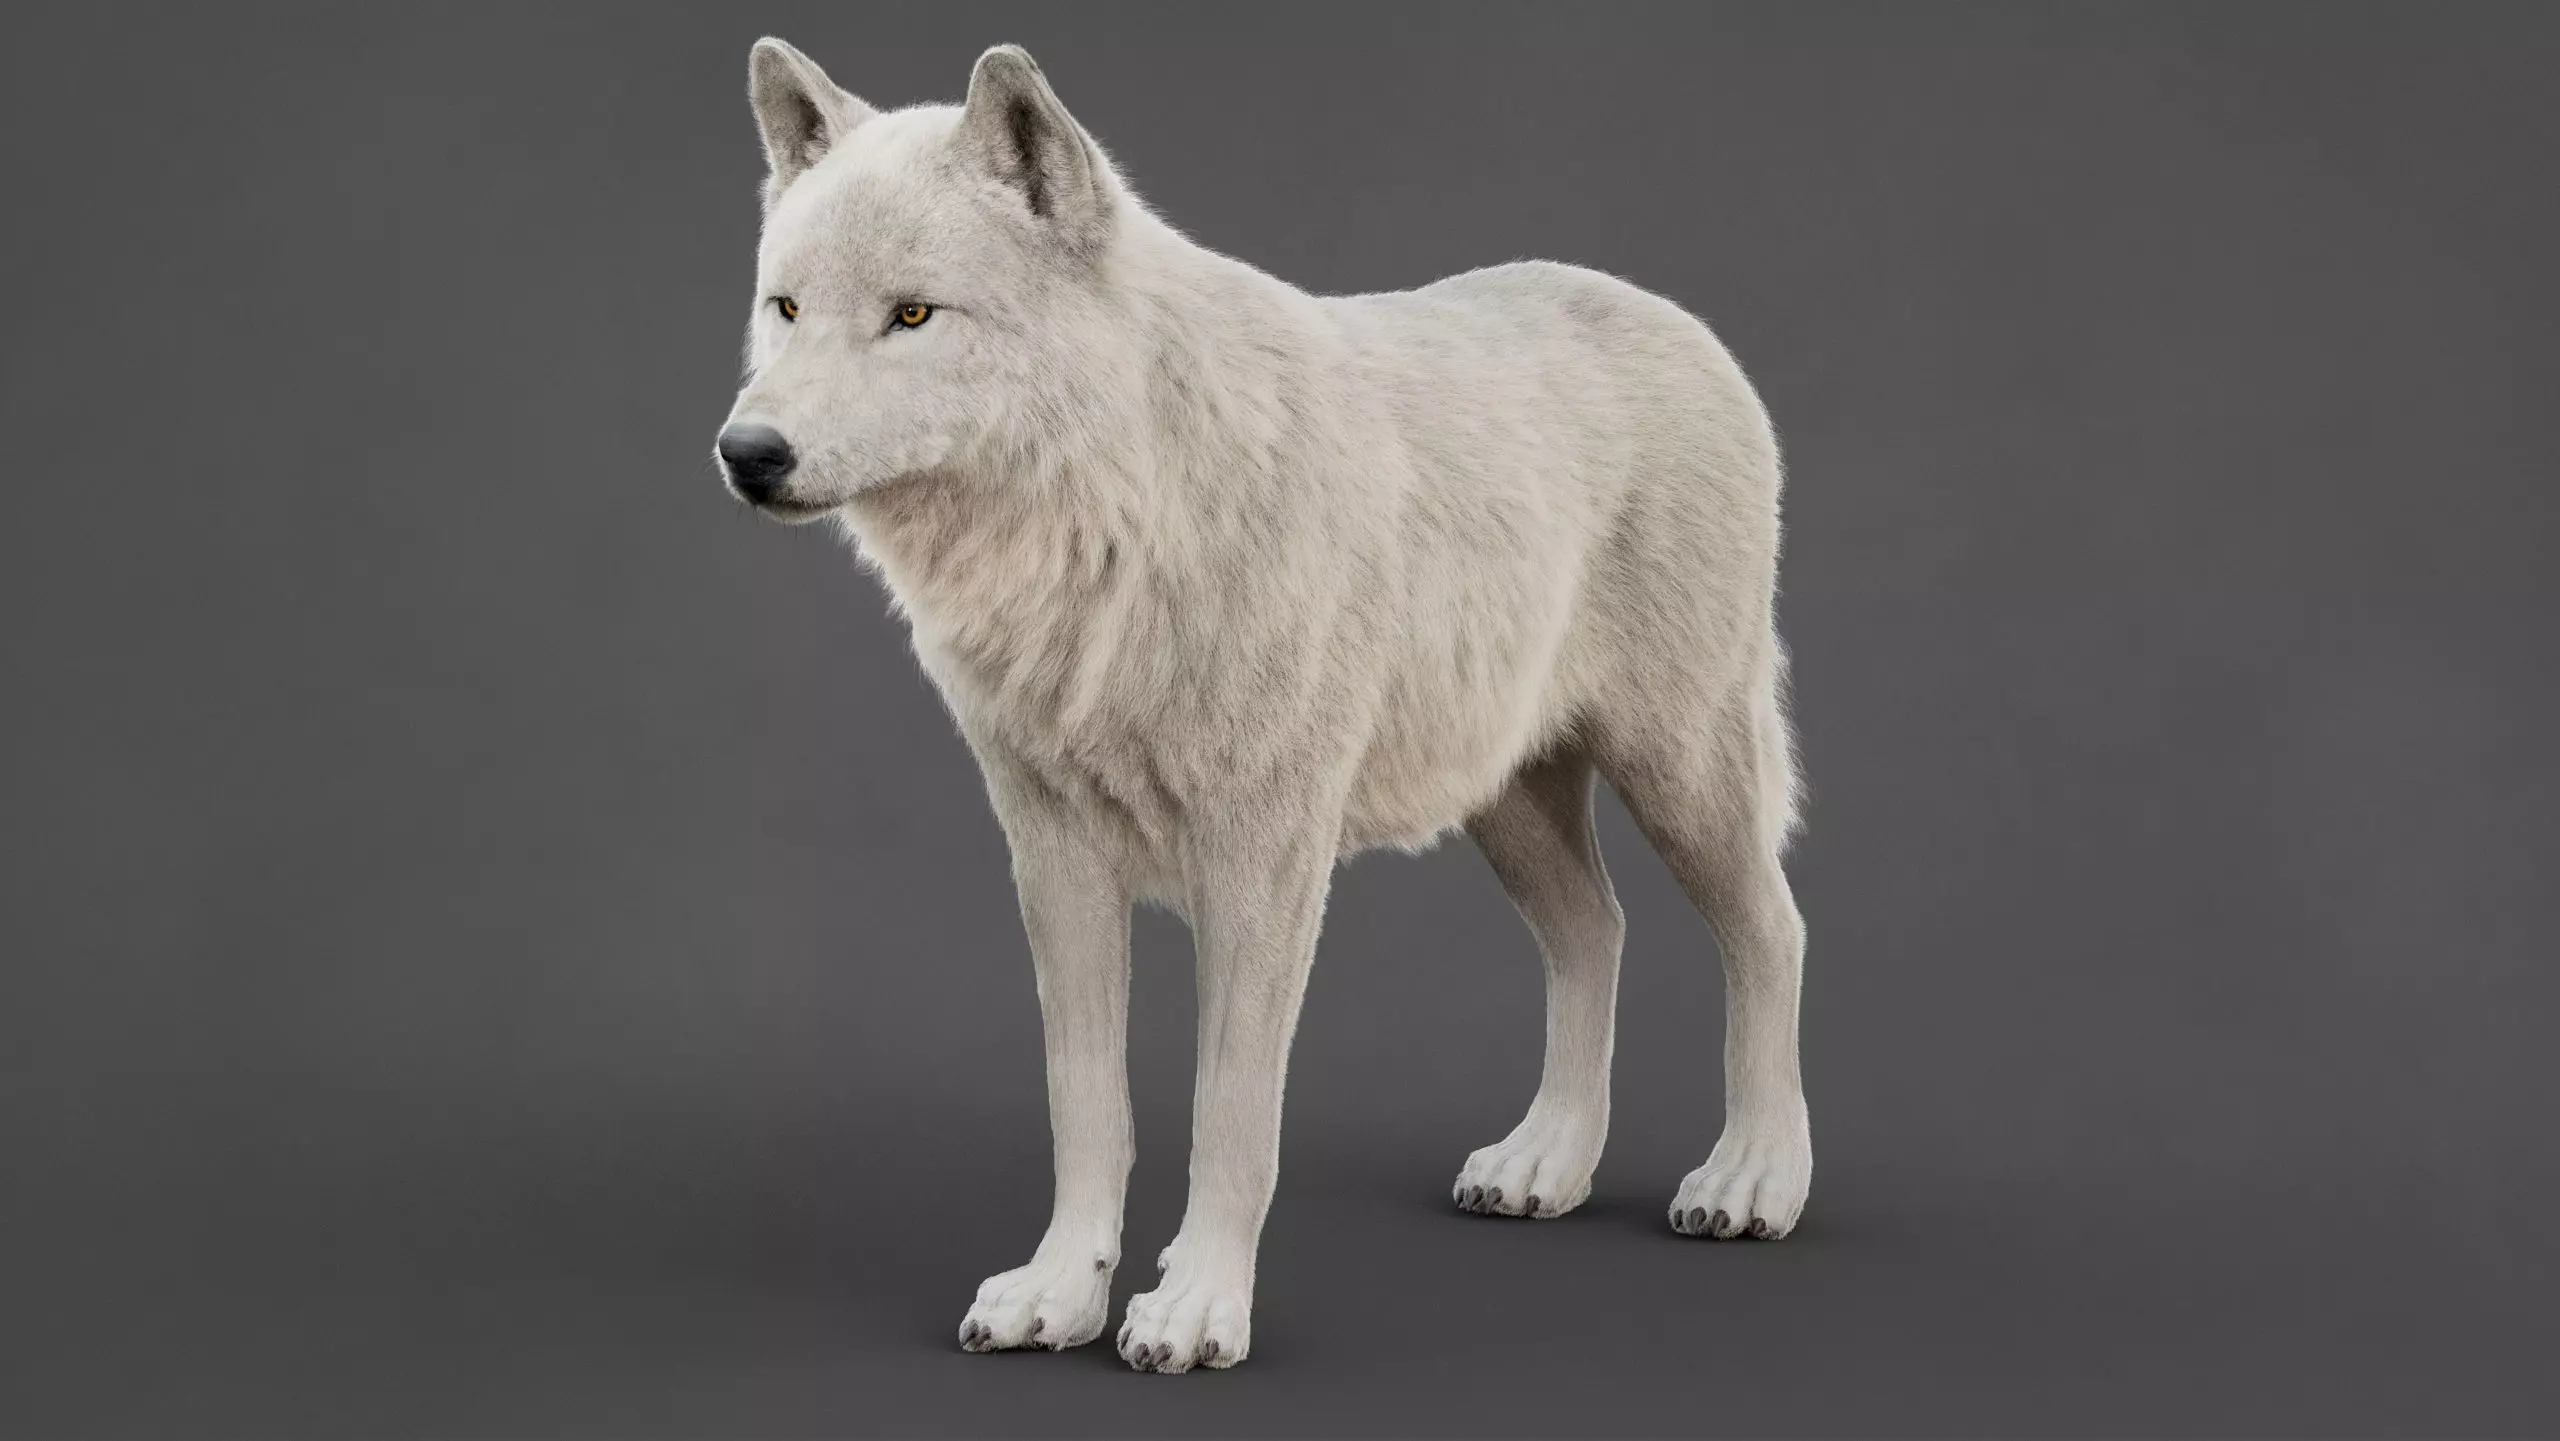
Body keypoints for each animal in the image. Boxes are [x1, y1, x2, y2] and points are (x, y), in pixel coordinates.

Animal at [714, 38, 1813, 1373]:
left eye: (912, 314)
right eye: (785, 308)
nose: (747, 453)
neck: (1115, 522)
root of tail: (1680, 321)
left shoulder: (1262, 857)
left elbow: (1229, 1111)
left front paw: (1194, 1310)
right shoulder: (1051, 856)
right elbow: (1087, 1105)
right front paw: (1059, 1295)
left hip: (1680, 770)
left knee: (1770, 932)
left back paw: (1753, 1178)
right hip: (1505, 801)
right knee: (1595, 932)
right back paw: (1545, 1162)